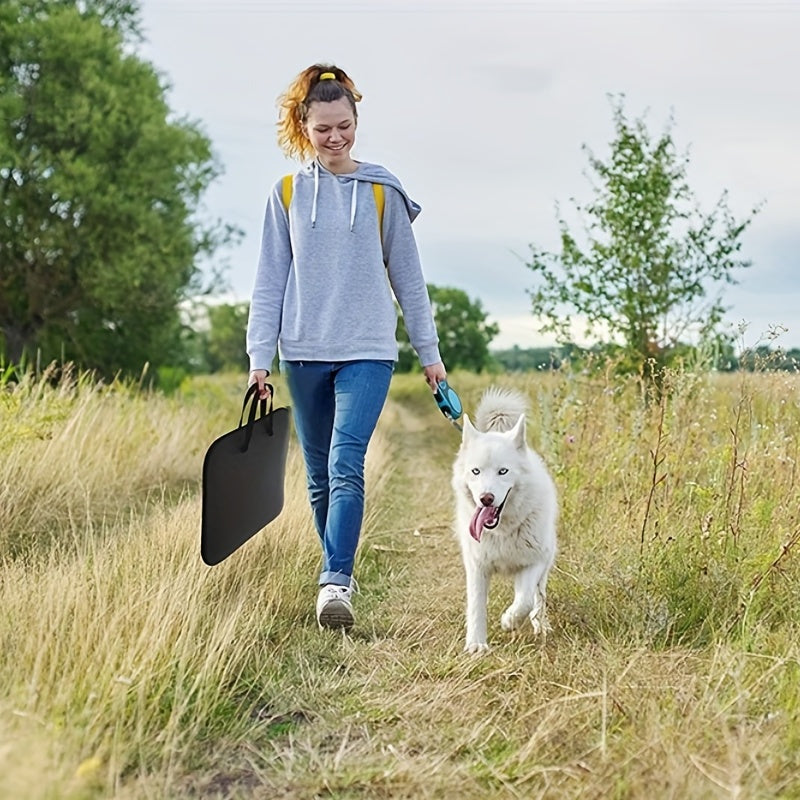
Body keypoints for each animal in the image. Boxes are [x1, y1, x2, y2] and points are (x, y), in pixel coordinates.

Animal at [454, 388, 560, 656]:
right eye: (476, 471)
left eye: (503, 471)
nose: (486, 498)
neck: (502, 531)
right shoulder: (477, 567)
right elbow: (476, 606)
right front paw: (476, 644)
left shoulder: (533, 562)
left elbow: (525, 600)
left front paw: (509, 621)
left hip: (546, 560)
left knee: (538, 597)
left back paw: (540, 624)